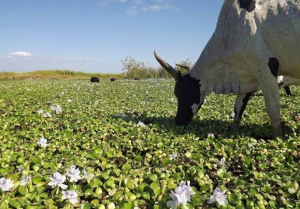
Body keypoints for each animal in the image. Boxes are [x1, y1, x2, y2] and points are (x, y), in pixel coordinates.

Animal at [155, 0, 300, 138]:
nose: (178, 121)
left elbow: (273, 109)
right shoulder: (248, 77)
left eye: (183, 93)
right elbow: (238, 108)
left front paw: (277, 137)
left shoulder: (265, 69)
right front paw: (232, 131)